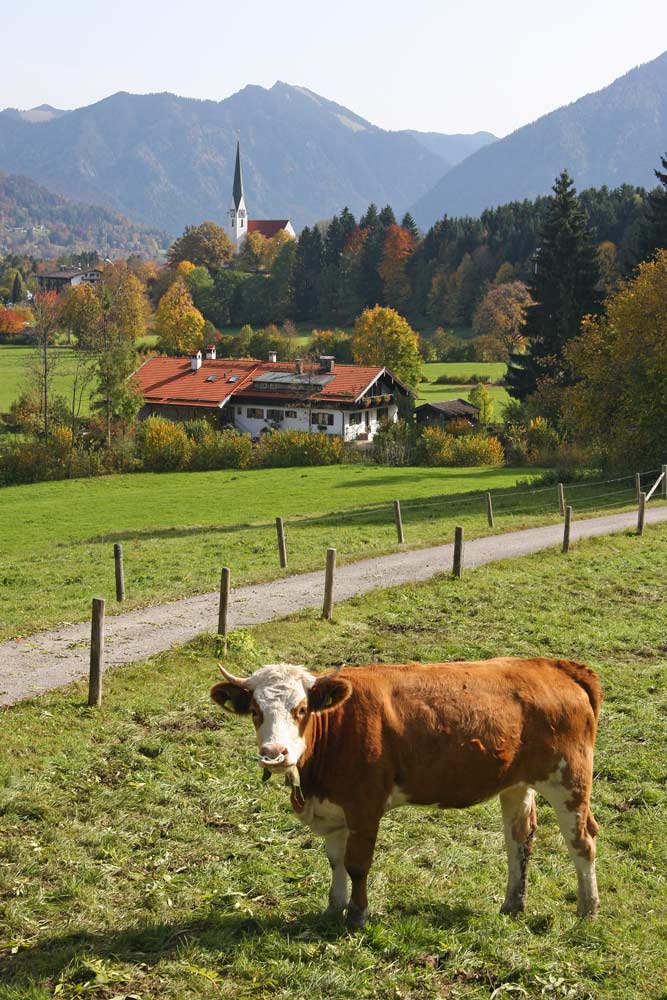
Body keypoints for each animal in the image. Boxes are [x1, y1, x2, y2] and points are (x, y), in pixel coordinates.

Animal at [211, 656, 604, 928]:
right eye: (256, 711)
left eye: (302, 708)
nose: (274, 753)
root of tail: (553, 666)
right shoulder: (334, 808)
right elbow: (335, 860)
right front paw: (333, 908)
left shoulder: (365, 806)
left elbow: (357, 864)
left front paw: (357, 915)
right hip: (516, 784)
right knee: (519, 840)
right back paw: (512, 905)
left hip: (569, 780)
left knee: (582, 841)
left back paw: (587, 910)